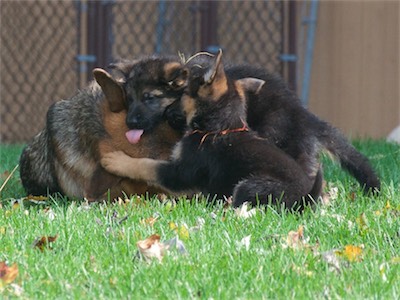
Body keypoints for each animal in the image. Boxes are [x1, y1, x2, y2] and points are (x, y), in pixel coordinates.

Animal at [102, 50, 322, 210]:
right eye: (129, 99)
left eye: (149, 98)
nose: (130, 122)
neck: (219, 127)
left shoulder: (182, 170)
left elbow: (147, 165)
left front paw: (116, 160)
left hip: (252, 180)